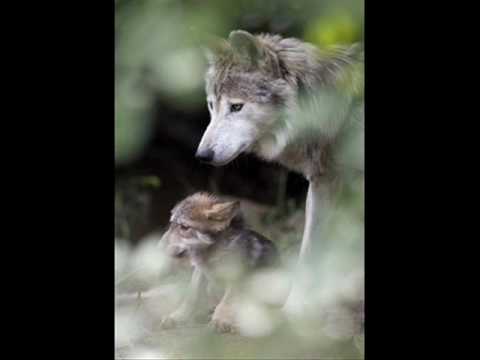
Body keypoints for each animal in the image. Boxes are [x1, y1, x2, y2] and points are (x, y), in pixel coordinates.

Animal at [196, 30, 364, 312]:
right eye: (211, 106)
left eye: (237, 107)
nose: (202, 156)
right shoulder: (323, 183)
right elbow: (309, 251)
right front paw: (294, 309)